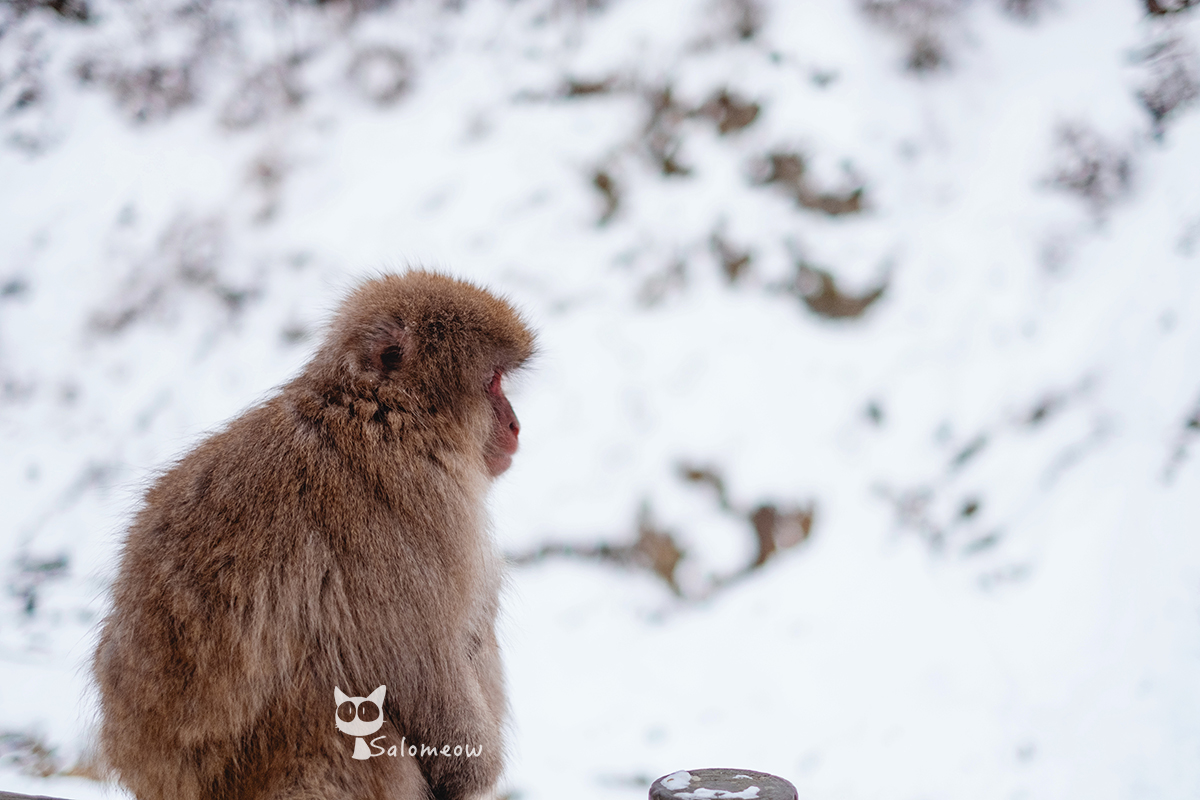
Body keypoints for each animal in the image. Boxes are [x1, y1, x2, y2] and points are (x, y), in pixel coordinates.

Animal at [96, 272, 537, 796]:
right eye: (493, 381)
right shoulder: (418, 507)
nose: (515, 424)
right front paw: (471, 773)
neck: (381, 412)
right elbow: (419, 664)